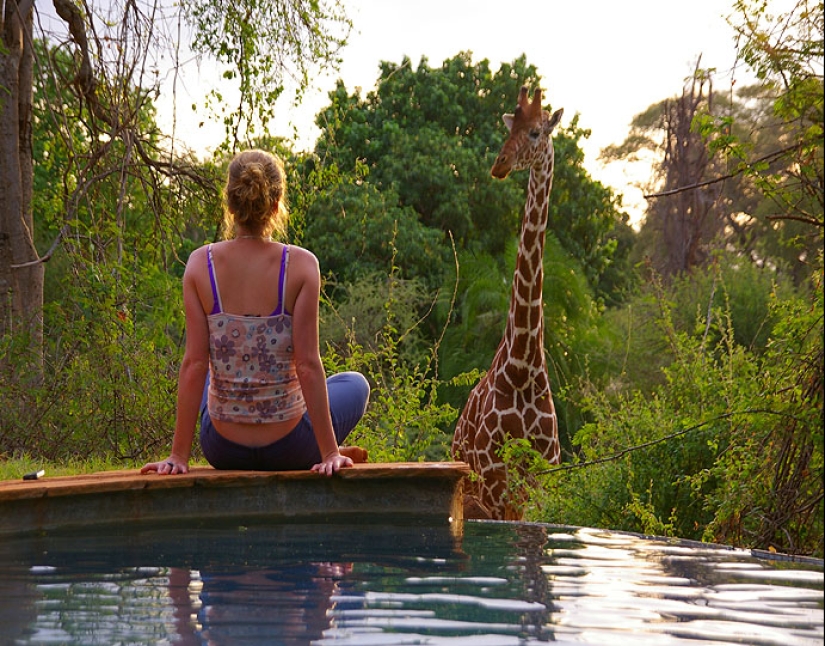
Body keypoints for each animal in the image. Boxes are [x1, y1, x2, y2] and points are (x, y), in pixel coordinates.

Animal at [452, 86, 563, 521]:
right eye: (508, 128)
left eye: (535, 132)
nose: (499, 164)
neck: (523, 365)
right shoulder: (495, 480)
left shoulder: (543, 477)